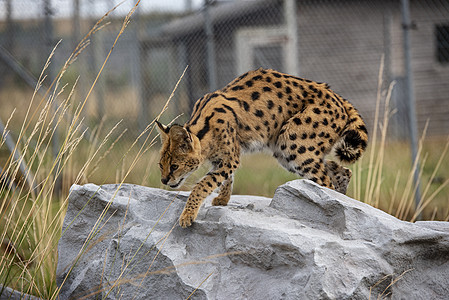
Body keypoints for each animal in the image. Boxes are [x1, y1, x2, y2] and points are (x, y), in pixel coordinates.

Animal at [156, 68, 366, 227]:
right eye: (160, 165)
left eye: (174, 166)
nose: (164, 180)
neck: (203, 133)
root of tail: (334, 94)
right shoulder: (224, 158)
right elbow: (224, 180)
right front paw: (223, 199)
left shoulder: (231, 158)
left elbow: (203, 184)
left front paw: (187, 215)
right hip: (287, 151)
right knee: (342, 171)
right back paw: (341, 198)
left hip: (293, 144)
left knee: (325, 182)